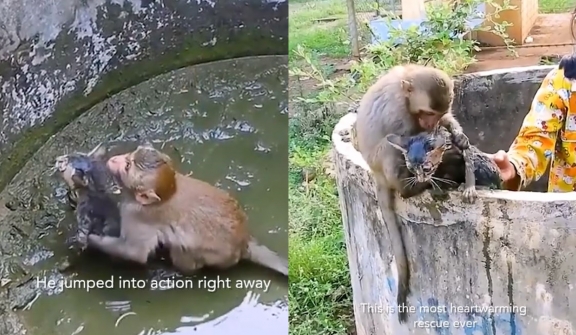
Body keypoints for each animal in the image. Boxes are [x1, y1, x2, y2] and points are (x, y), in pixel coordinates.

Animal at [85, 144, 288, 278]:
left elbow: (135, 252)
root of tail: (243, 241)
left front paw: (92, 240)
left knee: (182, 248)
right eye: (129, 156)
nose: (114, 159)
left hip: (213, 255)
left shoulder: (135, 214)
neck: (168, 194)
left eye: (127, 166)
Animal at [356, 63, 472, 322]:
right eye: (427, 113)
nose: (431, 123)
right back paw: (414, 187)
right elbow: (408, 142)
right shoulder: (398, 112)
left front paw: (456, 135)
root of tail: (374, 173)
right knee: (389, 149)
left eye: (436, 114)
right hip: (381, 163)